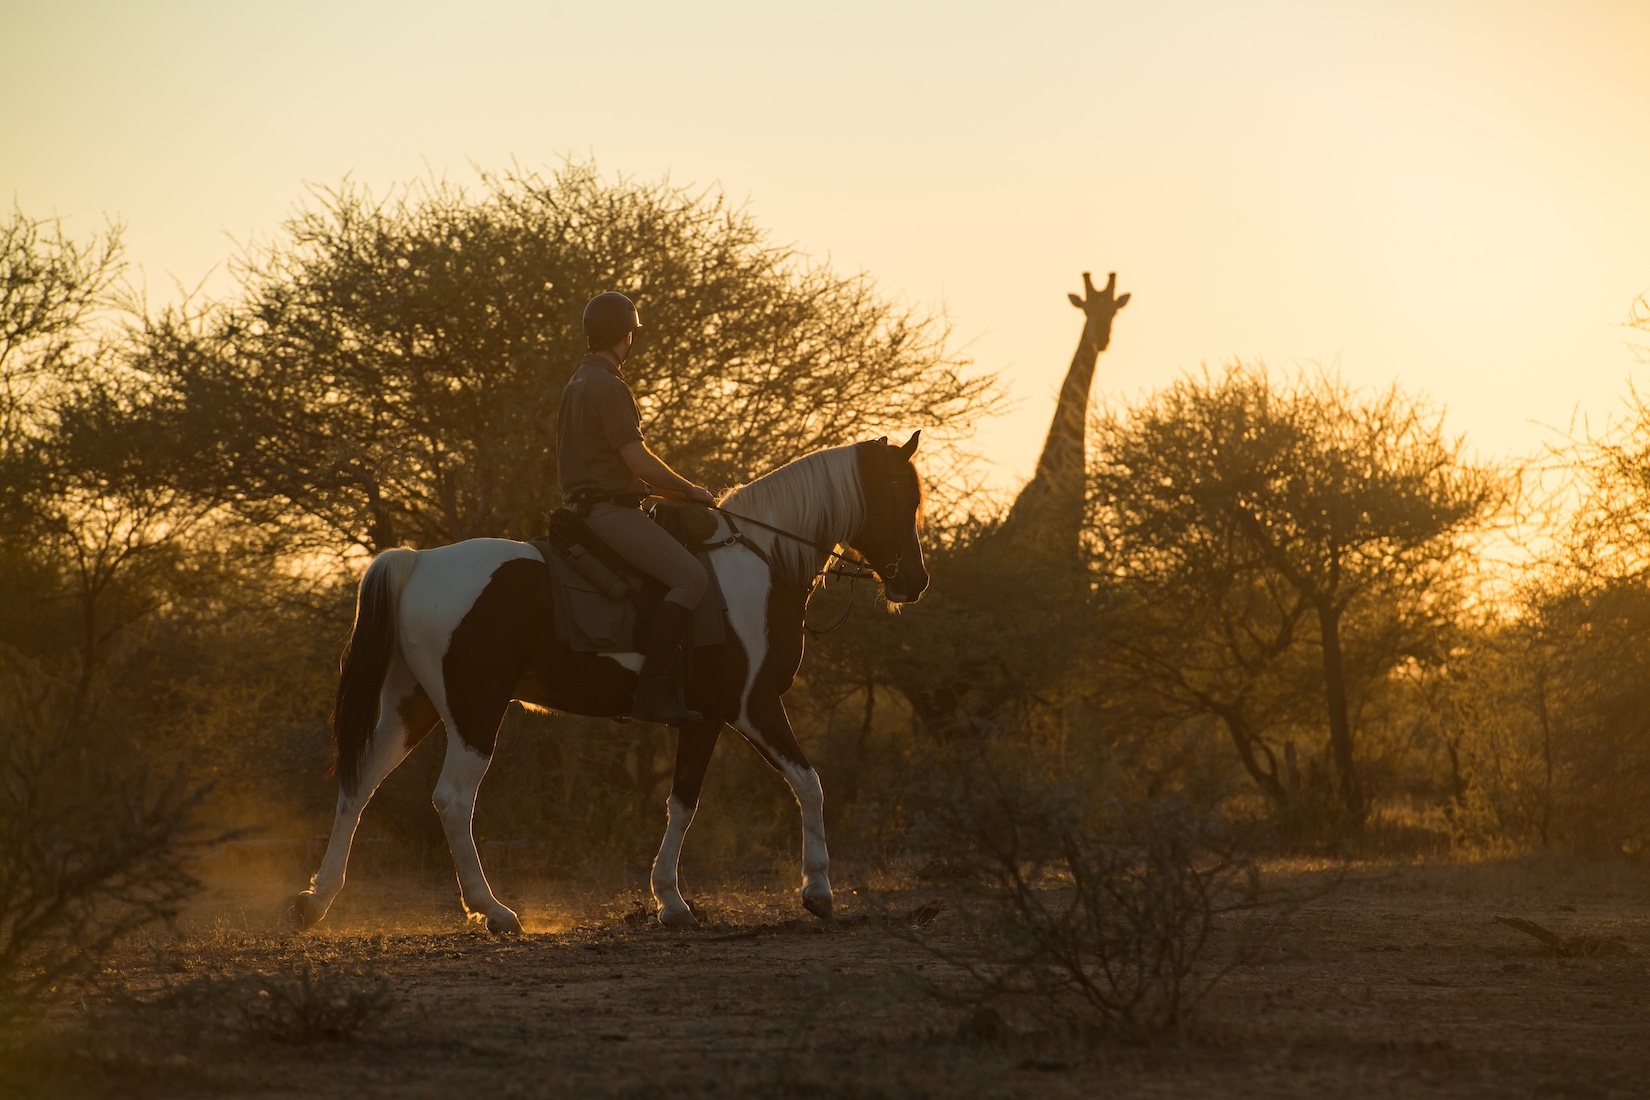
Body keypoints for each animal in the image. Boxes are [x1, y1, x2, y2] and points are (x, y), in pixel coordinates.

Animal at [295, 435, 930, 936]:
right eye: (904, 497)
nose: (916, 583)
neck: (759, 562)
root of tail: (419, 562)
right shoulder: (750, 707)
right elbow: (807, 783)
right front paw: (816, 891)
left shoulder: (703, 719)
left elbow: (682, 802)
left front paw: (671, 901)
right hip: (474, 712)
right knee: (451, 800)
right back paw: (494, 912)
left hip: (415, 707)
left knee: (359, 785)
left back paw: (315, 903)